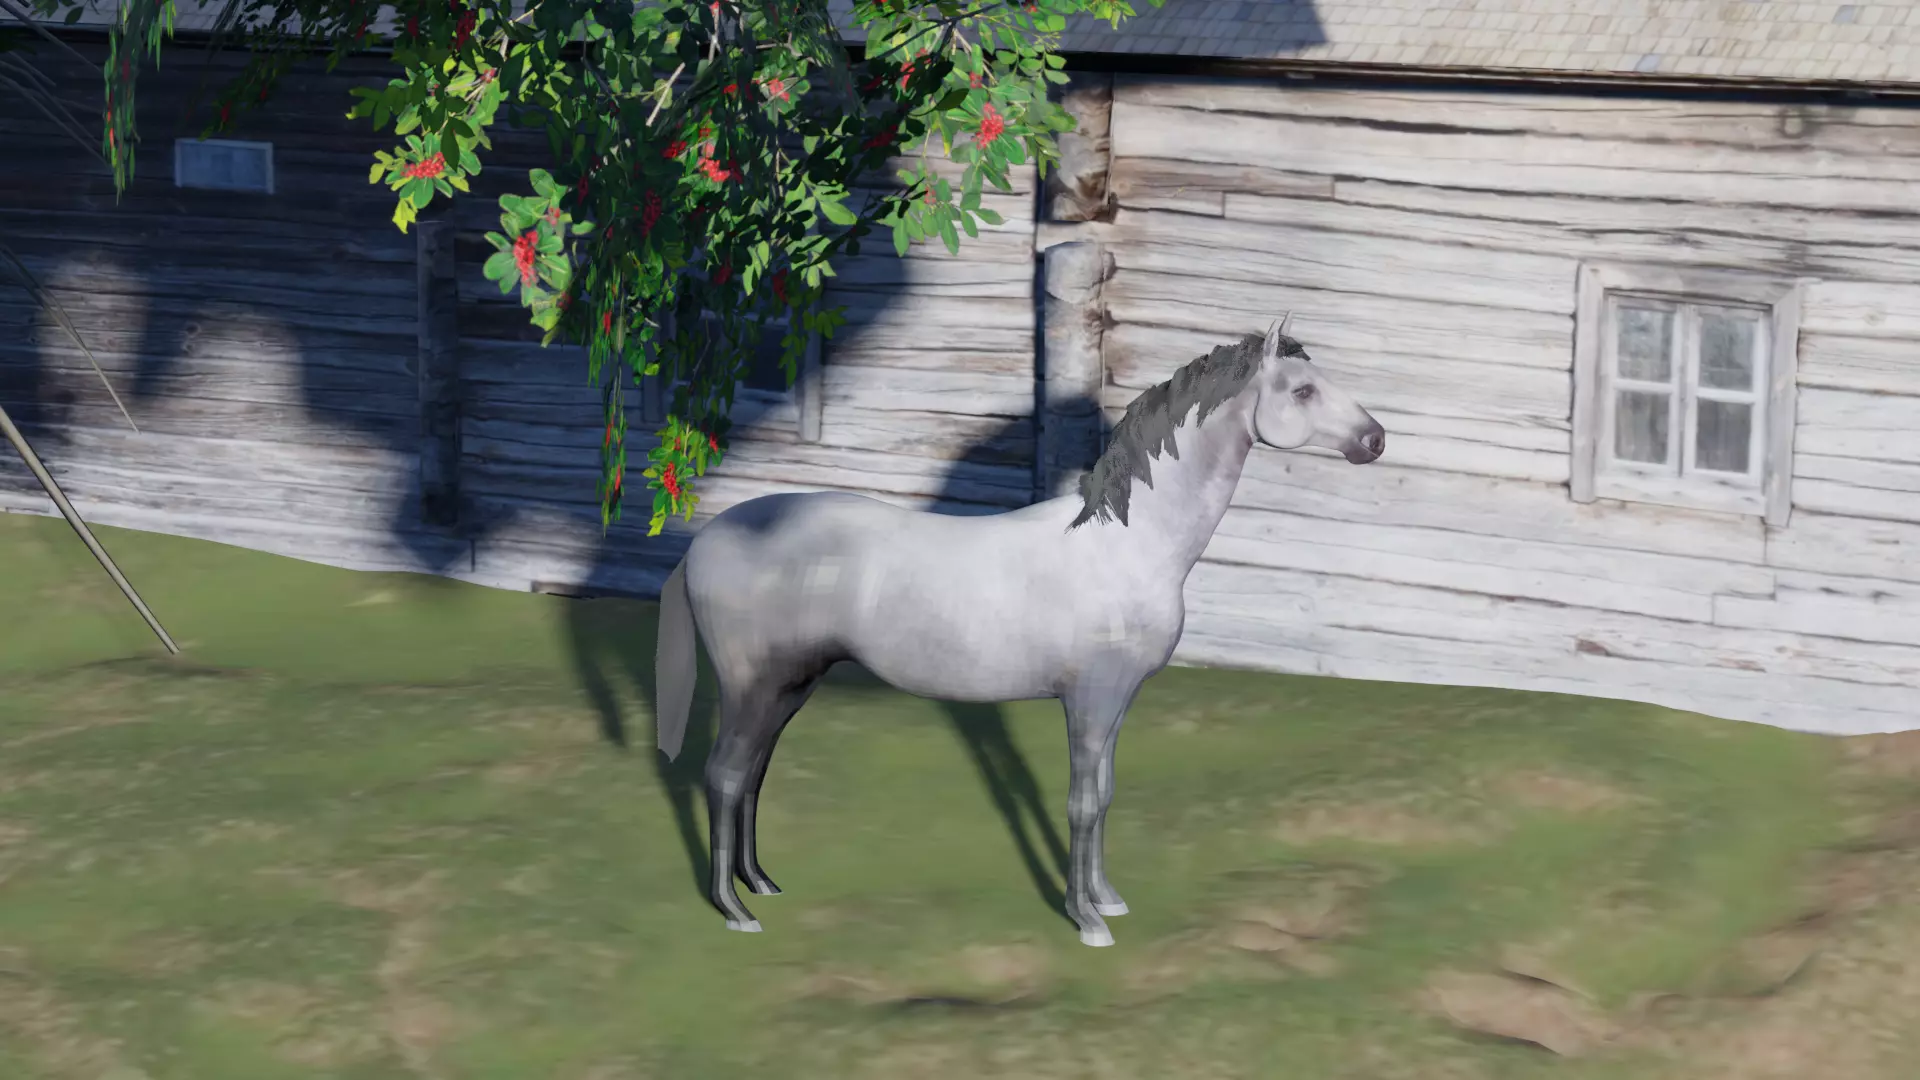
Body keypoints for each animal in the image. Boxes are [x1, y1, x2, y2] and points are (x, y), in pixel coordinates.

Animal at [652, 318, 1387, 947]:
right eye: (1302, 389)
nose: (1376, 440)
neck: (1129, 544)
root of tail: (706, 540)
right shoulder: (1089, 699)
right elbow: (1082, 802)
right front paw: (1088, 920)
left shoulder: (1116, 701)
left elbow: (1105, 793)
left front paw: (1107, 897)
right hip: (754, 686)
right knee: (723, 776)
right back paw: (735, 910)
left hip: (791, 686)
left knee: (752, 774)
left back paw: (761, 883)